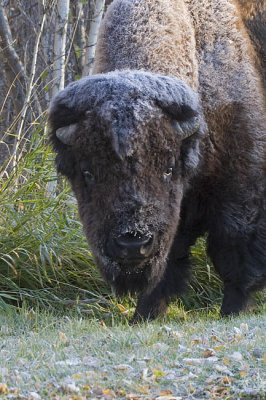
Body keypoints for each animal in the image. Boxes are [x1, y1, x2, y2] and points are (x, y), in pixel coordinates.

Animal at [48, 0, 266, 318]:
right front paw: (144, 315)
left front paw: (233, 311)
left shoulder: (240, 190)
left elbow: (234, 252)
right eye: (87, 173)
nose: (132, 243)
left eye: (169, 168)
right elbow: (169, 262)